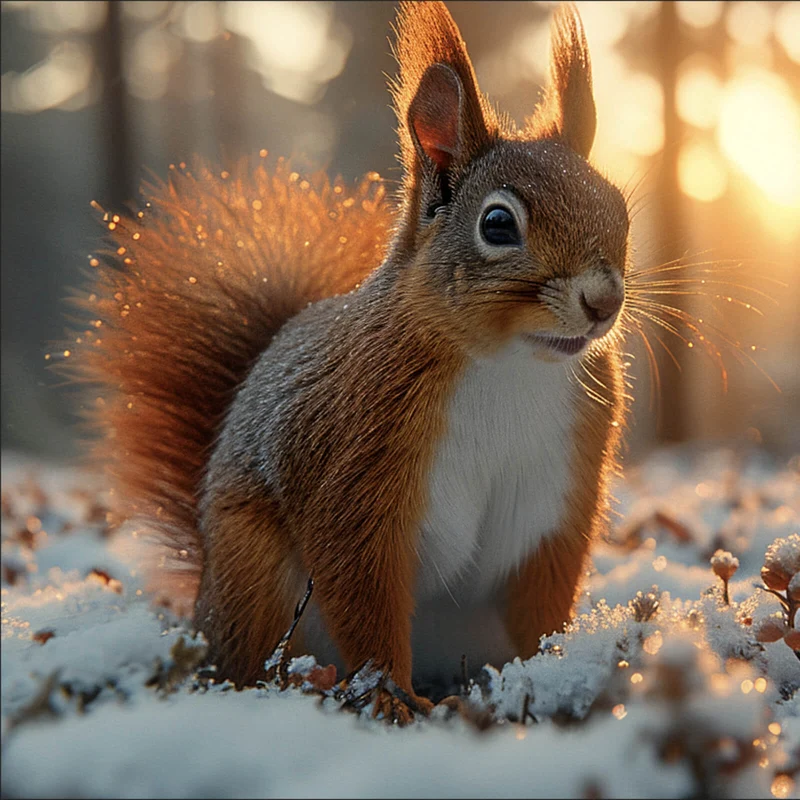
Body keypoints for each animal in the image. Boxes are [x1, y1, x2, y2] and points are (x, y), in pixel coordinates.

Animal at [69, 1, 629, 718]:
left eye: (619, 208)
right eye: (498, 224)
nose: (603, 300)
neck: (511, 365)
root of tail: (204, 609)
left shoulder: (555, 497)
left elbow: (544, 593)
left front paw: (553, 669)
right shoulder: (356, 460)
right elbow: (361, 583)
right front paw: (389, 697)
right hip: (257, 579)